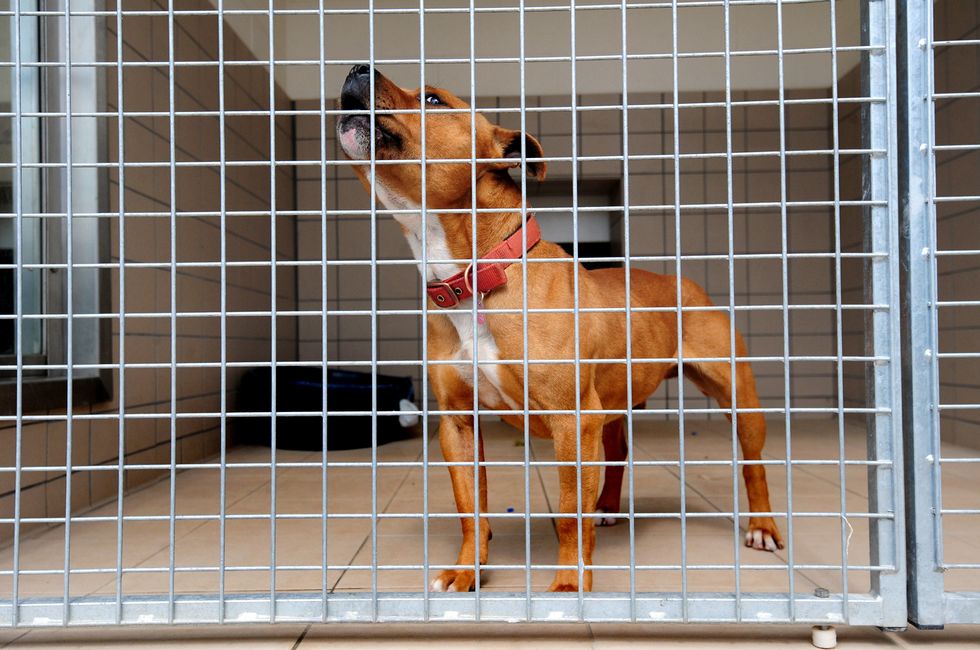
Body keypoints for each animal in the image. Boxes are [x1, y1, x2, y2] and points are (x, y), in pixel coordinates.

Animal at [336, 66, 780, 592]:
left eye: (433, 100)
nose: (356, 68)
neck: (480, 278)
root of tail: (685, 282)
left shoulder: (572, 419)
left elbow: (569, 512)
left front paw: (570, 583)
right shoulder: (459, 424)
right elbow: (470, 508)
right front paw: (468, 570)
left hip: (738, 397)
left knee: (753, 464)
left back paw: (762, 527)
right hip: (611, 405)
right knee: (617, 453)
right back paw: (607, 507)